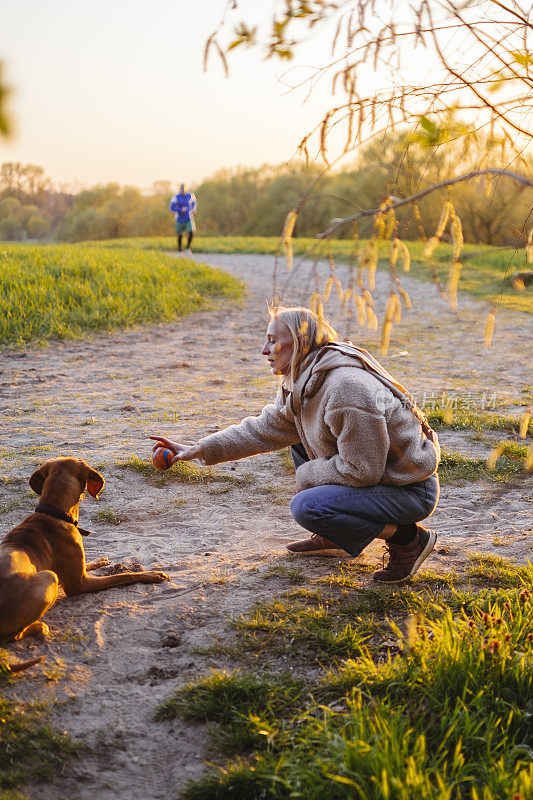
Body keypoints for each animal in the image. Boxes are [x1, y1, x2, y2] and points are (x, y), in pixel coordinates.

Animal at [0, 460, 168, 640]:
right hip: (49, 577)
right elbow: (123, 575)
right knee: (15, 635)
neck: (54, 513)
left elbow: (89, 564)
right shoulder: (80, 584)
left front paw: (100, 561)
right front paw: (152, 574)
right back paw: (39, 627)